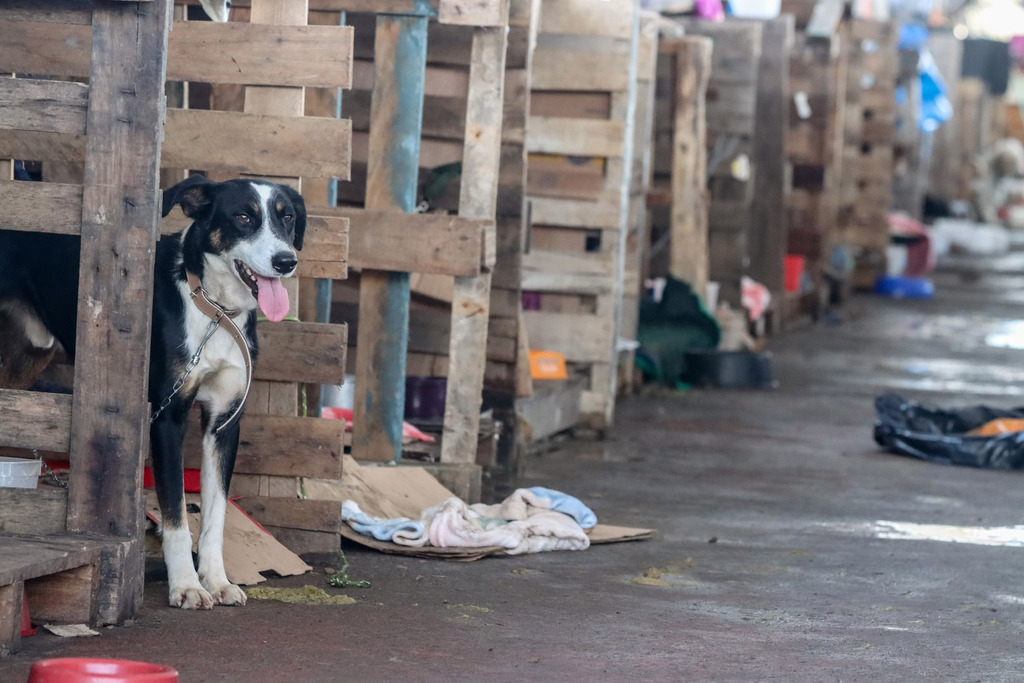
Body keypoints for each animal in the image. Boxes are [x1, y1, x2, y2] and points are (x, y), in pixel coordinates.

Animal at [0, 175, 303, 610]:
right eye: (243, 217)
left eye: (287, 217)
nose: (285, 261)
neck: (213, 309)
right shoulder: (167, 418)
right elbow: (176, 515)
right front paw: (187, 586)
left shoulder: (224, 423)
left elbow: (215, 515)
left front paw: (216, 581)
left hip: (27, 357)